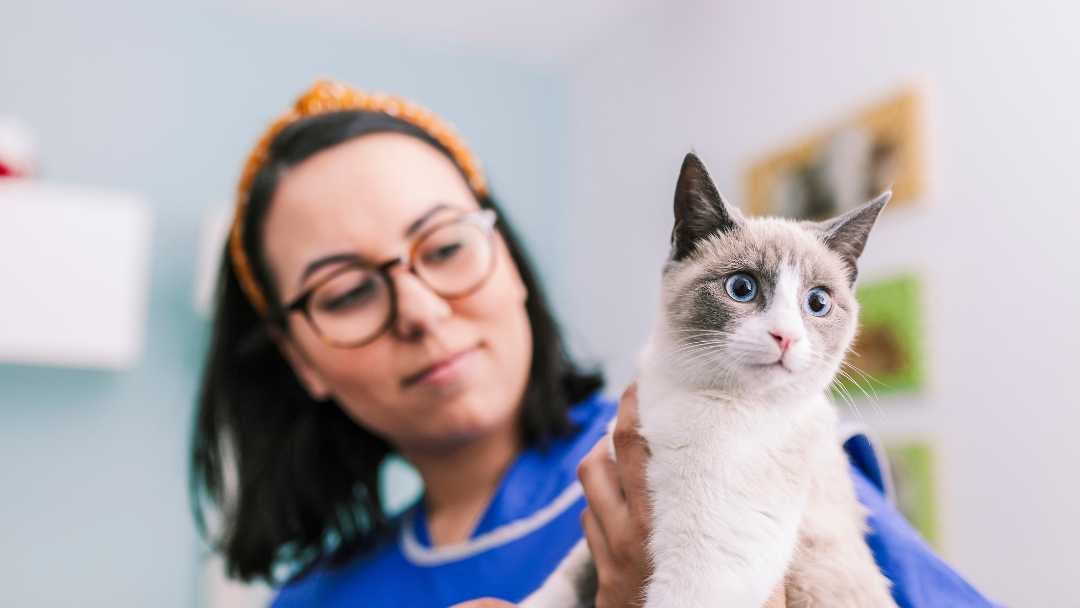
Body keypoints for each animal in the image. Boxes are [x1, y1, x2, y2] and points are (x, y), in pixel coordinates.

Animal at [522, 153, 894, 608]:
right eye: (742, 287)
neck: (688, 392)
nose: (786, 336)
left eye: (818, 302)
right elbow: (568, 576)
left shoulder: (709, 563)